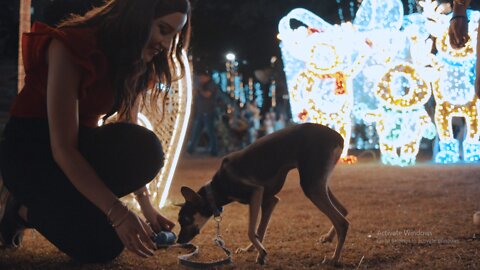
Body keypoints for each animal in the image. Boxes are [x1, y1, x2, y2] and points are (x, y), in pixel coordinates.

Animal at [176, 123, 348, 266]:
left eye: (185, 219)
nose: (178, 241)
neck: (216, 188)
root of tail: (337, 136)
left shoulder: (256, 192)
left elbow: (251, 231)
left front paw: (261, 252)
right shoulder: (269, 200)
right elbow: (259, 230)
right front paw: (253, 251)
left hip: (311, 186)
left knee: (342, 222)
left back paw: (334, 259)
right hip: (318, 183)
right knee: (343, 210)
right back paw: (328, 238)